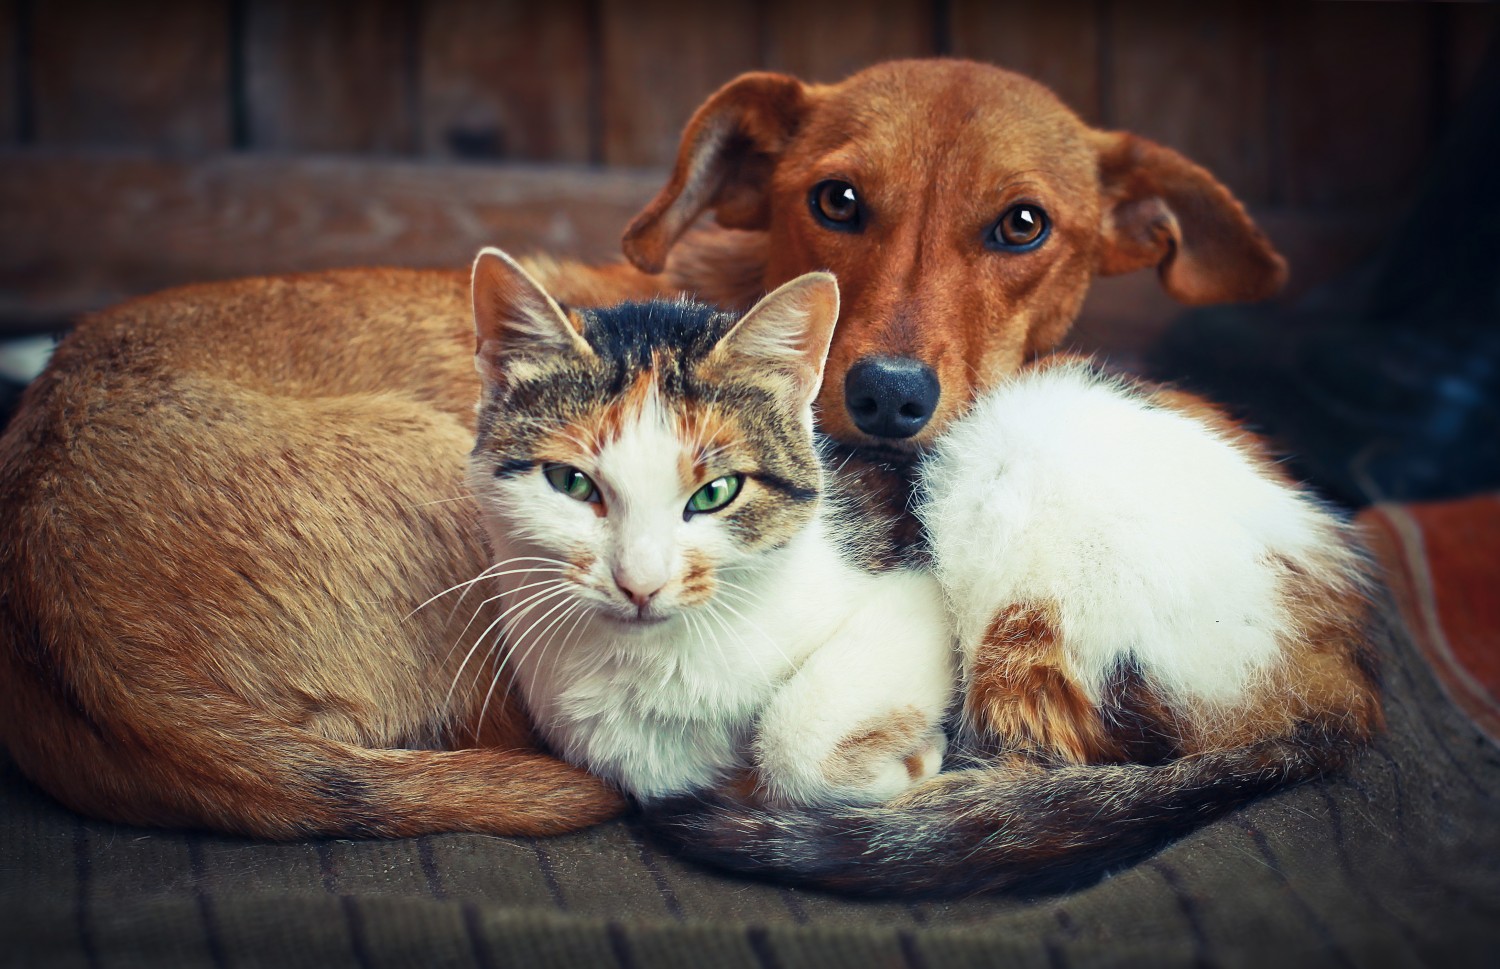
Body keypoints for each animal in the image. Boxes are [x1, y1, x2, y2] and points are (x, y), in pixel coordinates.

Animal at [468, 249, 954, 804]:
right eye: (571, 482)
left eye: (716, 492)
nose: (640, 584)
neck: (657, 662)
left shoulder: (918, 584)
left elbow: (794, 740)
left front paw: (913, 760)